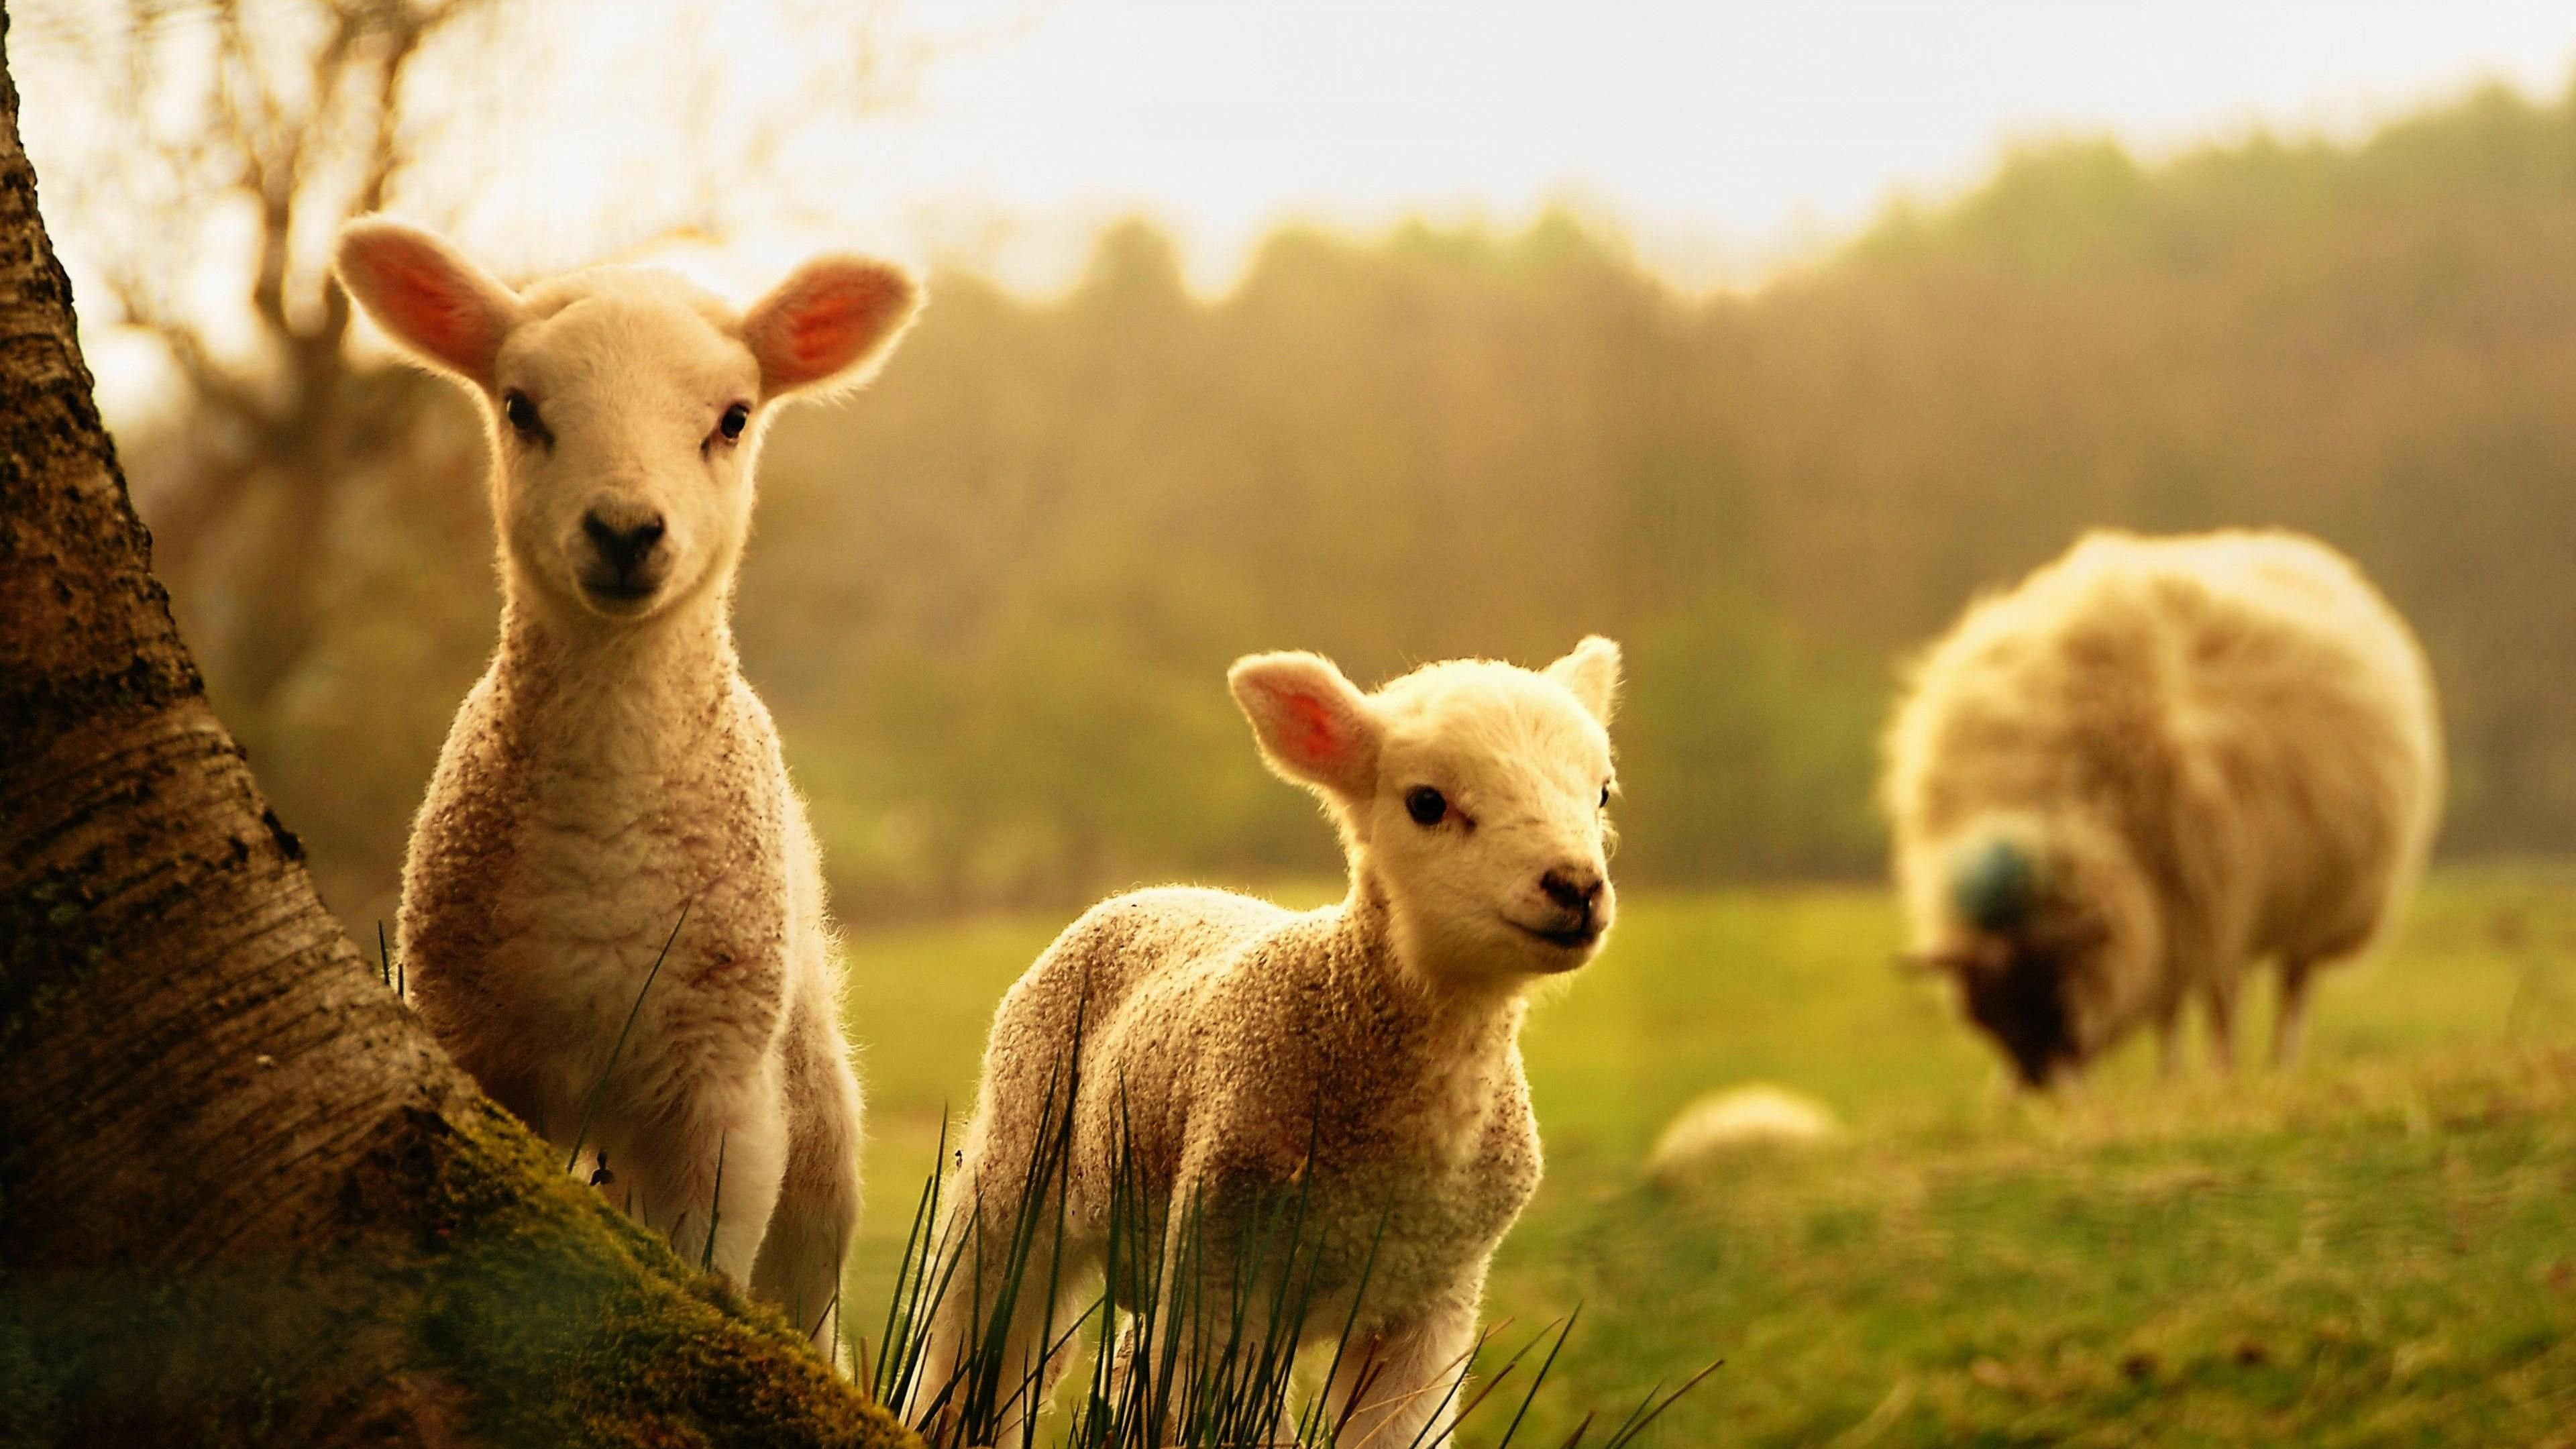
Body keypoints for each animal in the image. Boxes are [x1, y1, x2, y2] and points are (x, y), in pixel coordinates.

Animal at [332, 218, 919, 1341]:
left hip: (812, 1116)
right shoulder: (483, 1051)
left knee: (810, 1297)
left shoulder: (720, 1093)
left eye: (734, 419)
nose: (624, 531)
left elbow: (710, 1267)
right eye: (521, 408)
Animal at [910, 639, 1624, 1447]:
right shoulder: (1223, 1273)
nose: (1576, 888)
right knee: (974, 1345)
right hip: (1021, 1162)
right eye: (1427, 803)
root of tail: (1153, 890)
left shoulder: (1429, 1303)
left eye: (1601, 793)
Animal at [1881, 528, 2442, 1089]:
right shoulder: (2171, 914)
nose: (2041, 1091)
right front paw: (2170, 1081)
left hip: (2317, 904)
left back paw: (2270, 1065)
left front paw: (2191, 1077)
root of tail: (2301, 551)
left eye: (2055, 986)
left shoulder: (2197, 897)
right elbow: (2169, 1007)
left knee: (2289, 990)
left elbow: (2192, 1006)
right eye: (1985, 1012)